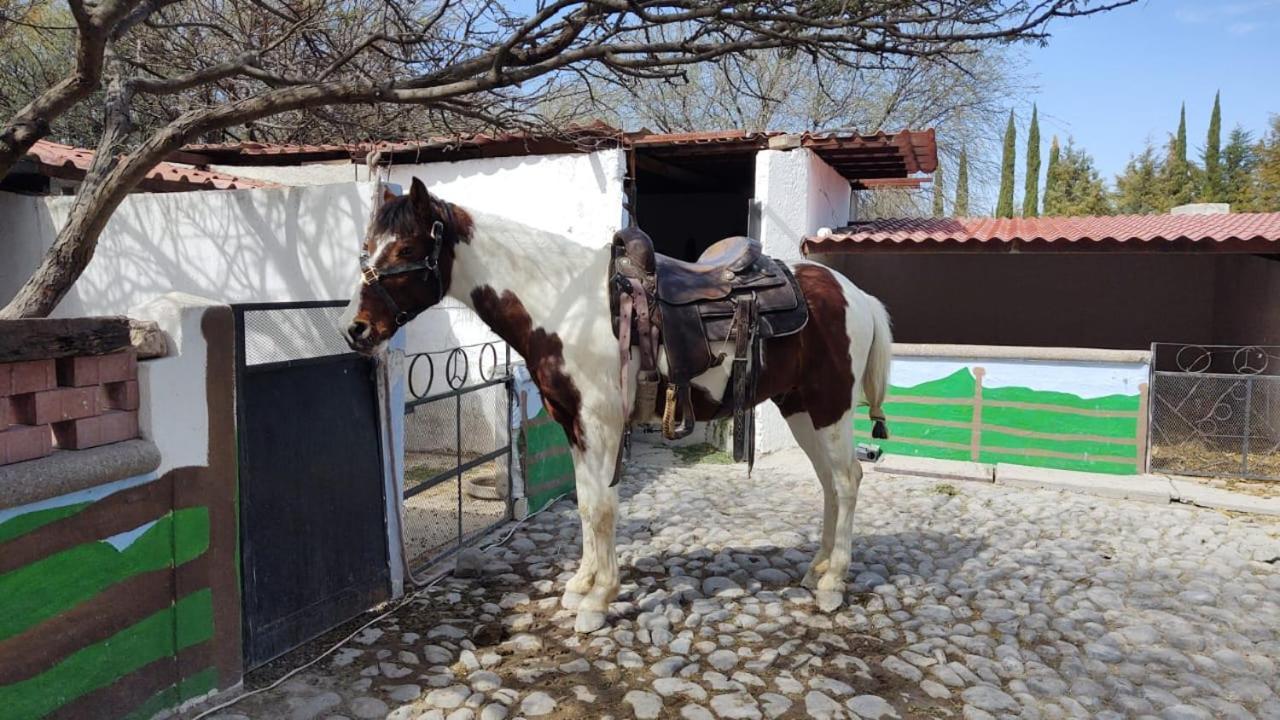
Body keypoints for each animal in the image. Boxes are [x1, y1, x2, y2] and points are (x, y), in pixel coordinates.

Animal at [345, 176, 896, 630]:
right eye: (367, 248)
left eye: (408, 246)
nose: (356, 329)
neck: (564, 305)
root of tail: (855, 295)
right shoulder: (574, 424)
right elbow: (587, 502)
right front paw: (581, 586)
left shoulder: (601, 423)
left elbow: (602, 507)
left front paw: (598, 600)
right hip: (801, 409)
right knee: (829, 483)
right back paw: (817, 569)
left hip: (829, 408)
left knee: (847, 480)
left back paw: (832, 584)